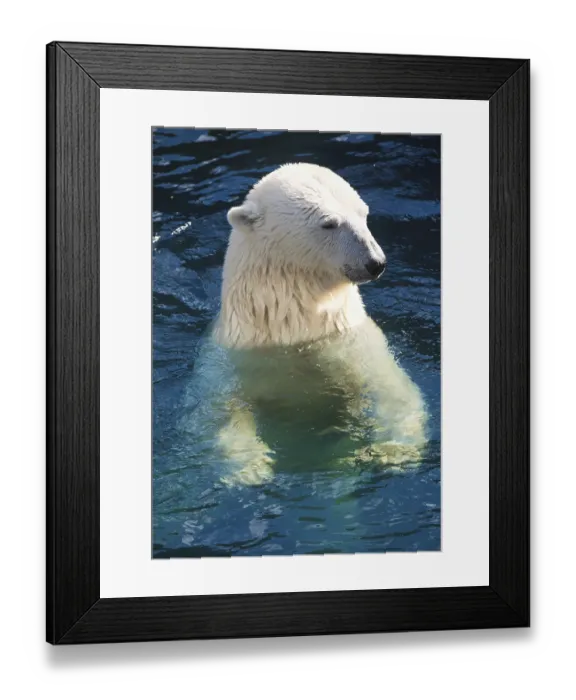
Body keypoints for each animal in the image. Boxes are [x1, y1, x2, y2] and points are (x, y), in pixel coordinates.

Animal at [186, 163, 427, 486]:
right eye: (329, 223)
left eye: (364, 213)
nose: (375, 263)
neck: (297, 326)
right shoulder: (230, 358)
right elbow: (217, 409)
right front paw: (250, 468)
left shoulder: (349, 338)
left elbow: (391, 385)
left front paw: (394, 450)